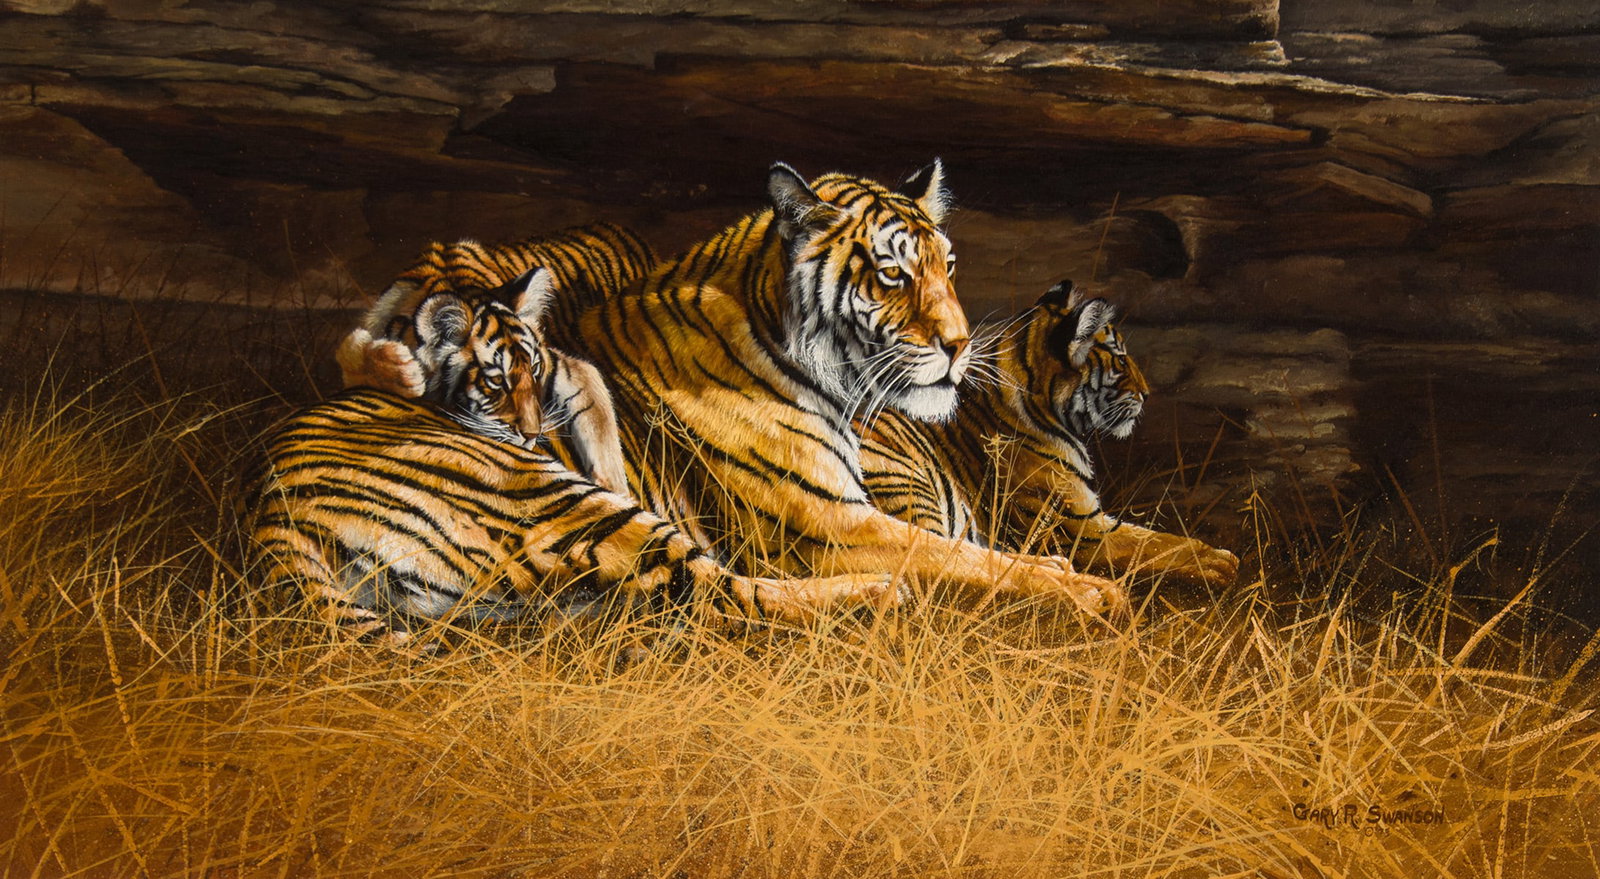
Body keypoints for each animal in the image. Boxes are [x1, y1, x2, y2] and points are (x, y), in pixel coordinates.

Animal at [335, 223, 655, 494]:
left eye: (534, 369)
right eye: (497, 381)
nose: (532, 434)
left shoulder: (569, 365)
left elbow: (601, 430)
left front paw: (615, 490)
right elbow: (348, 348)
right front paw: (403, 370)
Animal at [545, 161, 1125, 615]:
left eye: (949, 265)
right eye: (892, 274)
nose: (960, 345)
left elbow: (975, 552)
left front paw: (1057, 564)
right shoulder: (830, 523)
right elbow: (959, 557)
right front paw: (1088, 591)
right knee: (723, 597)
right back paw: (878, 593)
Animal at [859, 280, 1239, 588]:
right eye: (1120, 360)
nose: (1147, 393)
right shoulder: (1082, 528)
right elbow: (1156, 543)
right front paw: (1219, 562)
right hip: (906, 485)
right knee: (943, 558)